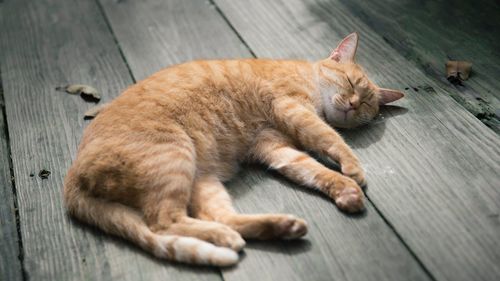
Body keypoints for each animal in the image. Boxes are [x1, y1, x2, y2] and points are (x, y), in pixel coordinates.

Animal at [63, 32, 406, 264]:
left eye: (366, 104)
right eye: (350, 83)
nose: (353, 104)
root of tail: (72, 177)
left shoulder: (274, 146)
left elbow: (312, 170)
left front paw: (345, 190)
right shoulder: (292, 108)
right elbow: (331, 139)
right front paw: (354, 169)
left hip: (200, 180)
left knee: (217, 216)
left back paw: (281, 226)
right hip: (174, 157)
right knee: (164, 223)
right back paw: (227, 238)